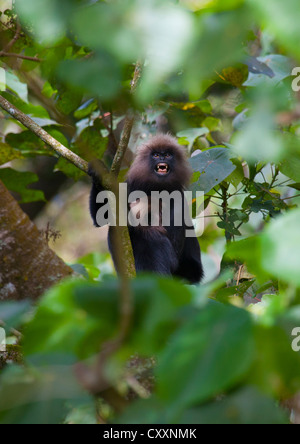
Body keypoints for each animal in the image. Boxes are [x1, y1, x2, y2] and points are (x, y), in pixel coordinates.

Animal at [89, 134, 204, 284]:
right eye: (156, 155)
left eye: (168, 155)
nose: (162, 158)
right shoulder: (130, 185)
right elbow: (102, 218)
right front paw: (99, 171)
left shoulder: (179, 197)